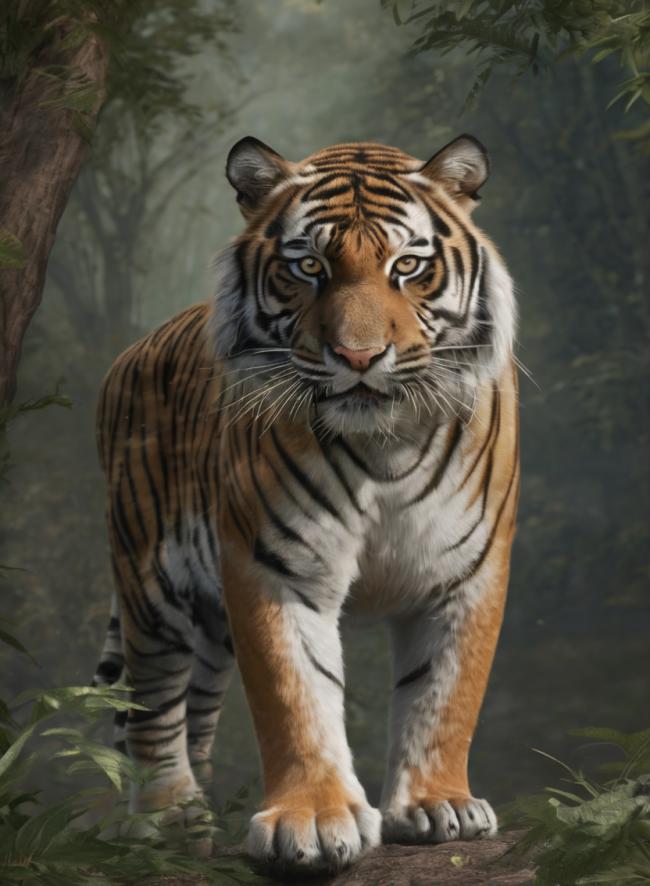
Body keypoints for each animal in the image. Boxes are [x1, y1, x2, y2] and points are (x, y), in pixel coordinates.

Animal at [93, 134, 519, 872]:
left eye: (408, 265)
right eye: (309, 266)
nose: (359, 356)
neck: (385, 443)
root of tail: (132, 352)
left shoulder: (466, 571)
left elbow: (446, 695)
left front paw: (439, 805)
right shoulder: (274, 565)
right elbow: (295, 696)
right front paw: (315, 821)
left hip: (210, 627)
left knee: (192, 709)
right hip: (152, 586)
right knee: (152, 702)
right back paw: (166, 814)